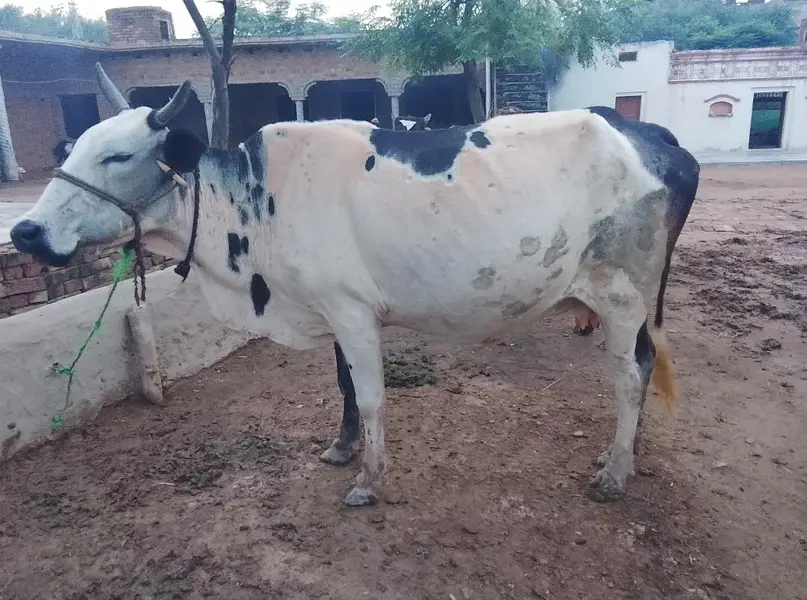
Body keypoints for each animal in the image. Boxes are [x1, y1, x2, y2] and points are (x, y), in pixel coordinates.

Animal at [10, 64, 700, 506]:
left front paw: (369, 480)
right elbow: (342, 384)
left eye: (117, 156)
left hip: (621, 297)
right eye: (73, 148)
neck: (255, 202)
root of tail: (655, 137)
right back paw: (625, 456)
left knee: (632, 374)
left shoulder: (352, 310)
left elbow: (369, 396)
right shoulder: (332, 308)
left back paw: (614, 473)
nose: (25, 231)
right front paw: (342, 450)